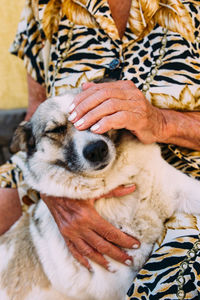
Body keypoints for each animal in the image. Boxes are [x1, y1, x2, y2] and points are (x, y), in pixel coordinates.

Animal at [1, 89, 200, 300]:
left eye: (97, 114)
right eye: (56, 130)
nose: (96, 150)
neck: (116, 185)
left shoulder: (182, 189)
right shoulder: (119, 279)